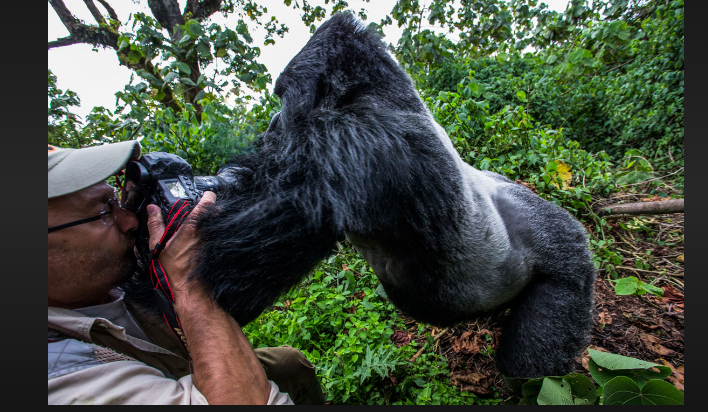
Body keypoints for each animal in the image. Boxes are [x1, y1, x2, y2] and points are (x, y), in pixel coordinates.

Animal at [189, 12, 596, 386]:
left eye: (283, 97)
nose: (271, 125)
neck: (379, 95)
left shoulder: (357, 142)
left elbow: (227, 277)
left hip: (563, 251)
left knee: (540, 345)